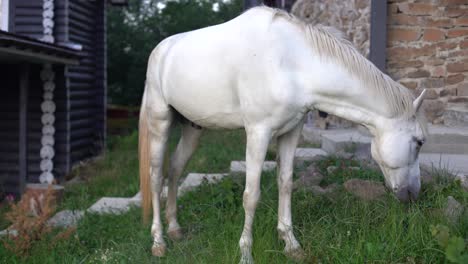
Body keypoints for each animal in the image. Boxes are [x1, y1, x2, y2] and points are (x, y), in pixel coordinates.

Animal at [138, 6, 428, 264]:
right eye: (420, 142)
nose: (414, 194)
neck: (292, 62)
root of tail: (160, 51)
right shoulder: (258, 133)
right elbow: (251, 195)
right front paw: (246, 254)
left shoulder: (290, 132)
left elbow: (286, 183)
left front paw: (291, 244)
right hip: (160, 124)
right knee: (156, 177)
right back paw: (158, 242)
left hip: (193, 129)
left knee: (175, 170)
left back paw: (175, 229)